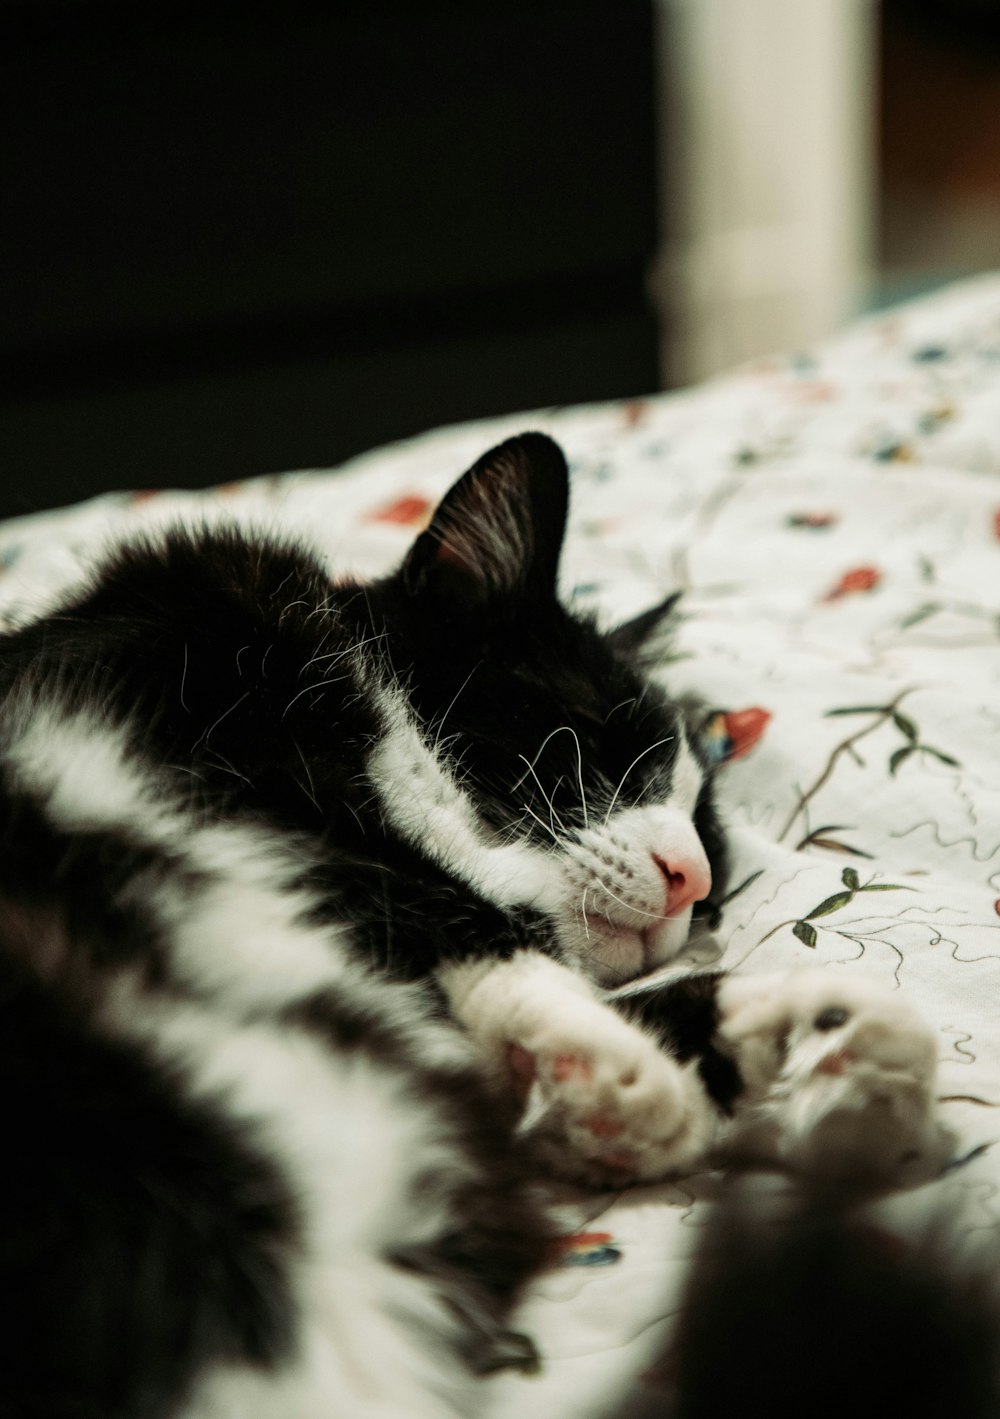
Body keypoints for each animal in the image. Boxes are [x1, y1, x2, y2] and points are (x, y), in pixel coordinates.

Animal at [0, 434, 941, 1419]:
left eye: (706, 828)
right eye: (608, 747)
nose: (695, 875)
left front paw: (829, 1033)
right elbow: (426, 893)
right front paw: (617, 1067)